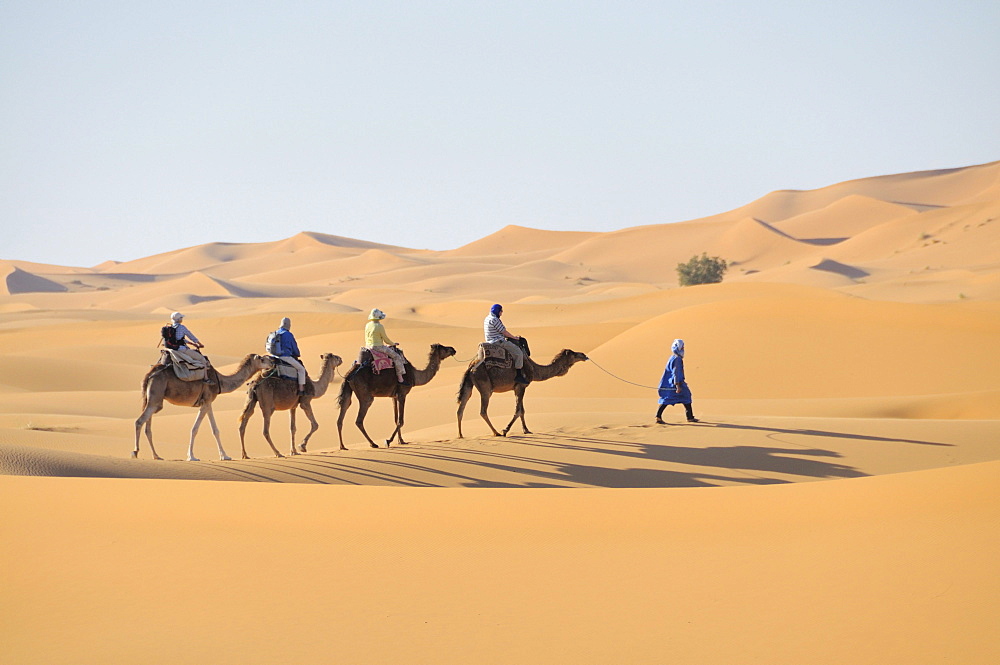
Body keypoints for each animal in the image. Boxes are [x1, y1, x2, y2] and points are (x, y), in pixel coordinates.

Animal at [133, 352, 276, 462]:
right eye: (262, 359)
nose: (272, 362)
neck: (220, 381)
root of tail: (149, 375)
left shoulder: (207, 402)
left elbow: (215, 430)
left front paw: (224, 456)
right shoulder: (207, 401)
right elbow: (195, 429)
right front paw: (191, 457)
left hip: (152, 399)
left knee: (148, 427)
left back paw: (156, 456)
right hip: (156, 397)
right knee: (139, 421)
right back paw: (135, 452)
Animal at [458, 344, 588, 438]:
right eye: (573, 354)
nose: (584, 355)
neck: (533, 369)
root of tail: (471, 366)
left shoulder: (517, 388)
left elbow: (522, 410)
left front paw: (526, 430)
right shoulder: (521, 386)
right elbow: (518, 410)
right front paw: (505, 430)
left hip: (469, 384)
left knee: (461, 407)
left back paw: (460, 435)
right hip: (485, 385)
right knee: (483, 411)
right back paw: (497, 433)